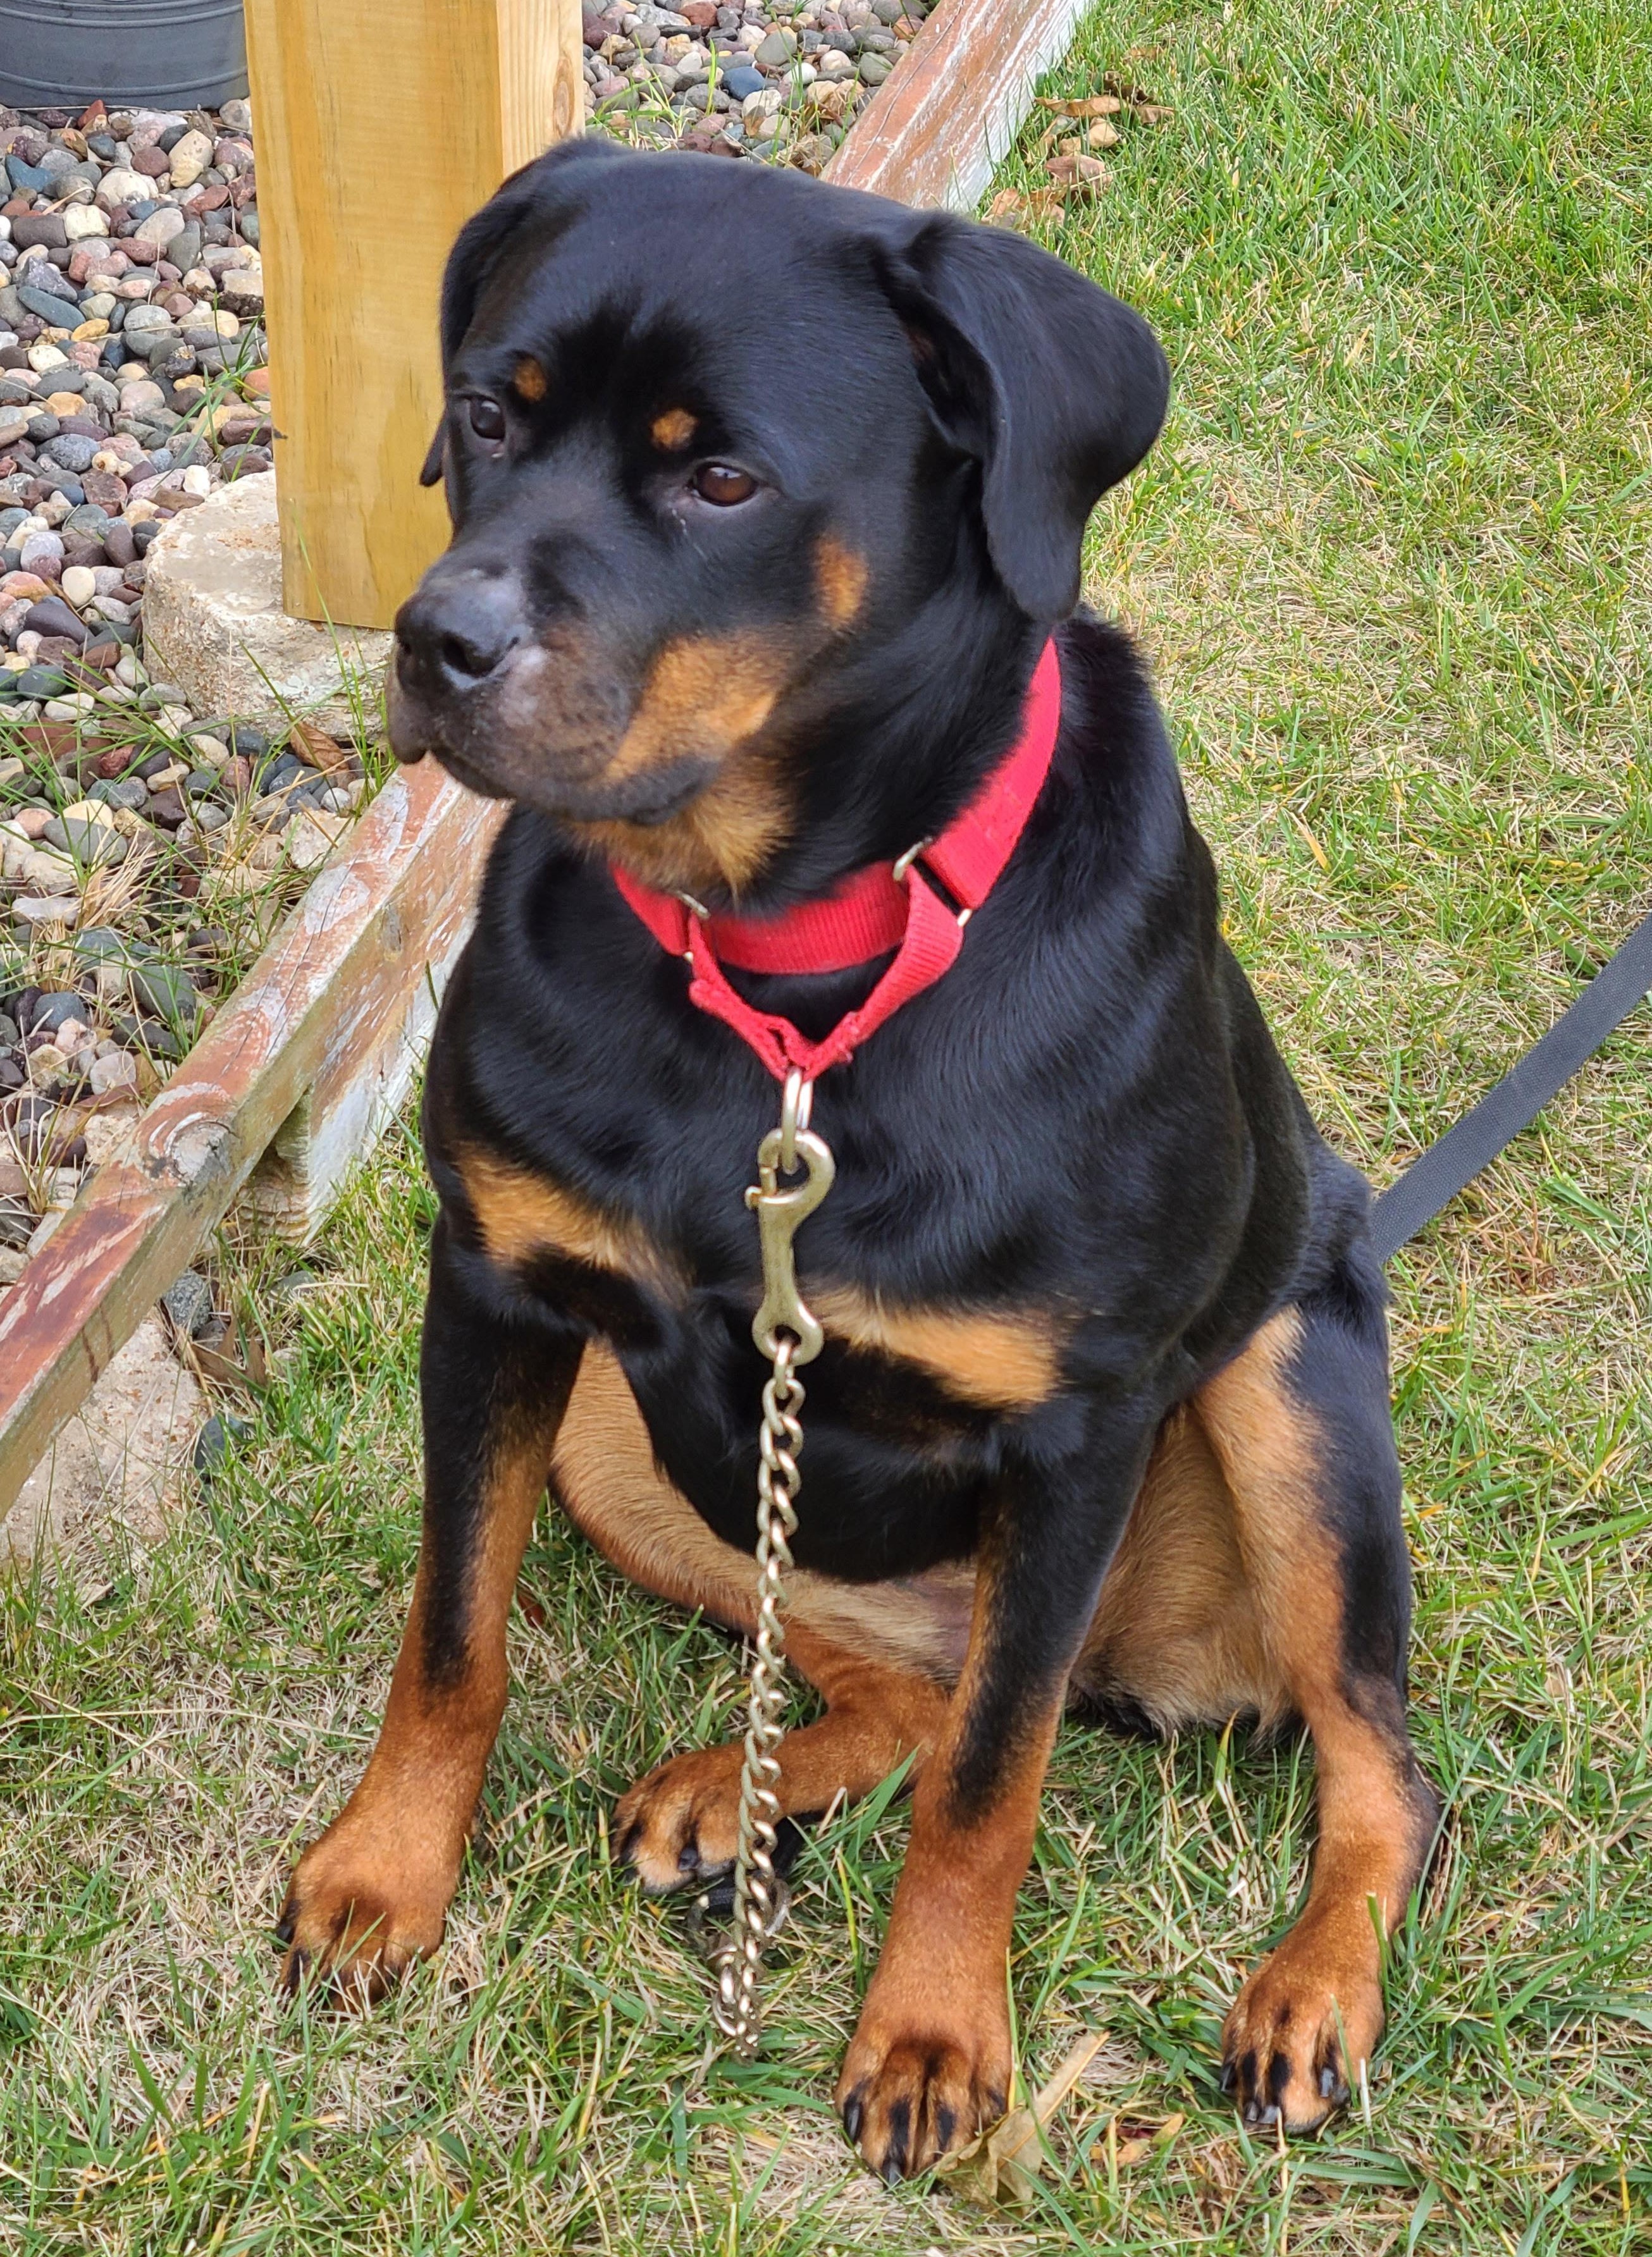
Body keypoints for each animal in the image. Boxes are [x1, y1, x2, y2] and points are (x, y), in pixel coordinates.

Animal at [277, 141, 1435, 2184]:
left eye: (722, 477)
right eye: (489, 412)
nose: (436, 643)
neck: (790, 980)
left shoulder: (1077, 1423)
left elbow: (994, 1777)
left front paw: (935, 2033)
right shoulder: (494, 1287)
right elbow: (453, 1628)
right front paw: (385, 1871)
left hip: (1286, 1386)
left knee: (1358, 1755)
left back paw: (1310, 1992)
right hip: (624, 1447)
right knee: (892, 1678)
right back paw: (734, 1795)